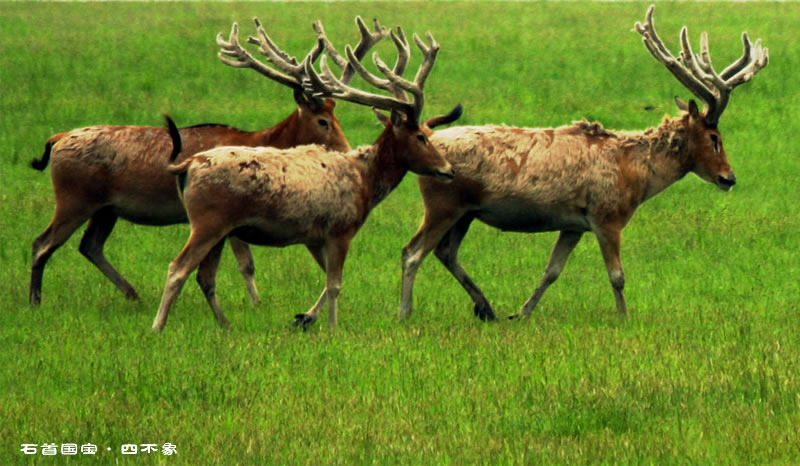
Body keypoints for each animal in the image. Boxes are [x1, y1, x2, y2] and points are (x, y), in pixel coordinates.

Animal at [31, 16, 390, 306]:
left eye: (337, 115)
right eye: (323, 121)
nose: (346, 150)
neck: (264, 141)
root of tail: (57, 139)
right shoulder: (232, 216)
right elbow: (247, 264)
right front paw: (256, 304)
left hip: (107, 208)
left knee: (89, 246)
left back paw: (132, 294)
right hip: (74, 198)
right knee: (42, 243)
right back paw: (36, 300)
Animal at [152, 24, 462, 332]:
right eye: (421, 137)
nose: (449, 169)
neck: (366, 182)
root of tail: (187, 165)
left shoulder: (315, 236)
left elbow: (327, 281)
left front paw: (305, 318)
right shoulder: (340, 229)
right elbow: (335, 284)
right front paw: (332, 328)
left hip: (219, 230)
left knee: (205, 276)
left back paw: (225, 325)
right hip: (209, 221)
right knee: (178, 268)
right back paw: (158, 326)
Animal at [400, 5, 768, 322]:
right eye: (715, 137)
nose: (729, 177)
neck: (634, 176)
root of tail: (431, 139)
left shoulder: (573, 224)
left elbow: (551, 271)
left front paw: (522, 313)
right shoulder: (607, 216)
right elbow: (617, 276)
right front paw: (624, 318)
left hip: (465, 212)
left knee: (445, 252)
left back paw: (486, 308)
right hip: (442, 204)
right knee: (413, 252)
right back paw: (406, 313)